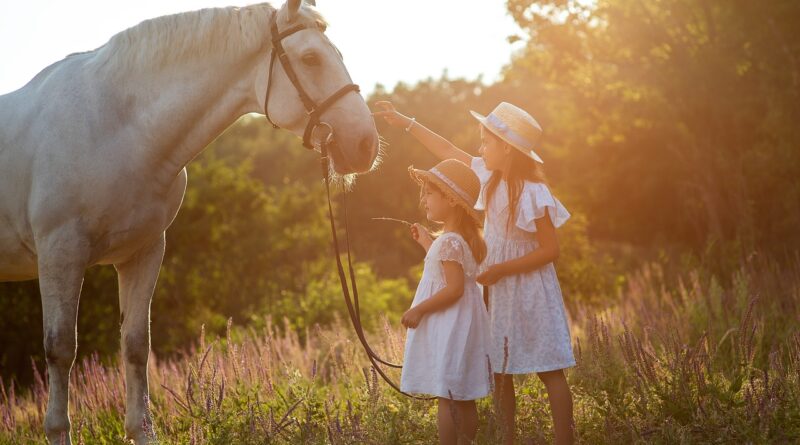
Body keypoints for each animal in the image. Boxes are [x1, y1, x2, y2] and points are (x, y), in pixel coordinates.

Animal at [0, 0, 378, 443]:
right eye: (311, 58)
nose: (366, 144)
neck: (116, 126)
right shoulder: (61, 255)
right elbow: (61, 348)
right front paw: (58, 430)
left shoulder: (143, 253)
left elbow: (136, 345)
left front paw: (142, 430)